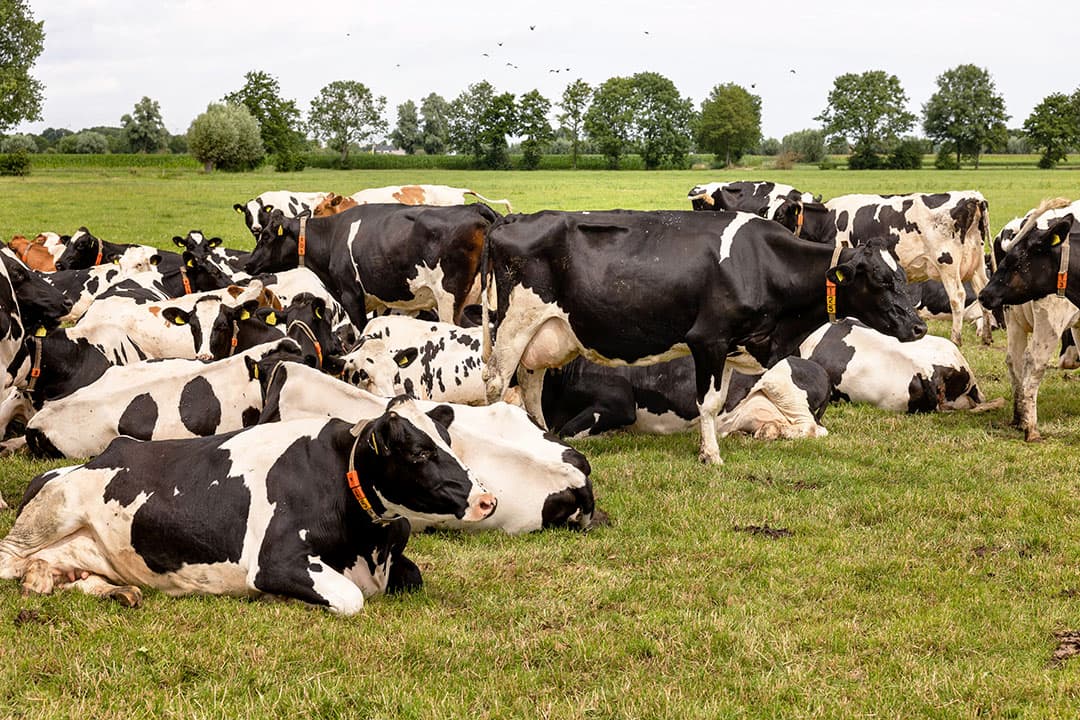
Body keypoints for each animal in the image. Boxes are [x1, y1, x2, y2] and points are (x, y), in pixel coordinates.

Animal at [1, 400, 497, 614]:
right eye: (419, 453)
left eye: (447, 441)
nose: (487, 500)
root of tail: (102, 454)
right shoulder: (275, 561)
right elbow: (350, 598)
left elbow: (412, 577)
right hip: (51, 512)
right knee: (11, 561)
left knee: (66, 574)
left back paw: (109, 591)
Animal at [246, 203, 500, 328]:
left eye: (266, 236)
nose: (248, 264)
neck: (332, 237)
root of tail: (475, 207)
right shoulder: (380, 300)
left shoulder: (351, 296)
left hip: (450, 299)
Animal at [771, 191, 993, 346]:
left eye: (780, 216)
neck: (828, 219)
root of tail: (974, 197)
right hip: (977, 263)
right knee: (982, 291)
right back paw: (987, 337)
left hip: (947, 263)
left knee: (957, 297)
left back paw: (956, 339)